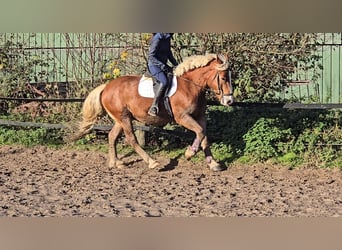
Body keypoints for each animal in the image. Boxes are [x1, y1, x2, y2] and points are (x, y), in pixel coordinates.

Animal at [69, 53, 235, 172]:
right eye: (223, 78)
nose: (229, 101)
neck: (190, 86)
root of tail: (106, 87)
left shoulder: (200, 116)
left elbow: (204, 136)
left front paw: (213, 164)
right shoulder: (183, 117)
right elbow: (200, 132)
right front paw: (190, 153)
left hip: (121, 118)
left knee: (112, 136)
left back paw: (116, 163)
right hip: (124, 118)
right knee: (131, 139)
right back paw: (152, 162)